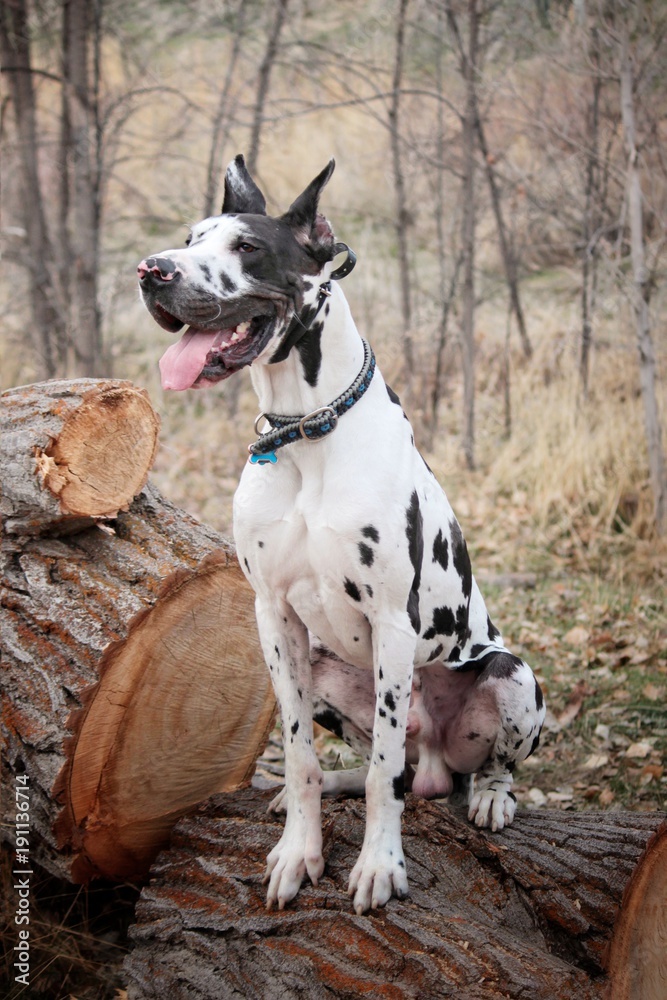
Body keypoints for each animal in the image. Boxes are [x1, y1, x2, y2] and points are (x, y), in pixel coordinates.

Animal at [138, 156, 544, 916]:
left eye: (246, 247)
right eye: (191, 237)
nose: (153, 270)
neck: (304, 432)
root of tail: (439, 761)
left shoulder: (391, 623)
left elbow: (384, 768)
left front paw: (379, 864)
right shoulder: (274, 619)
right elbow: (300, 752)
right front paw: (300, 851)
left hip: (511, 674)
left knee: (452, 769)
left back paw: (491, 797)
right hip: (327, 668)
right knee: (380, 770)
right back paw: (331, 787)